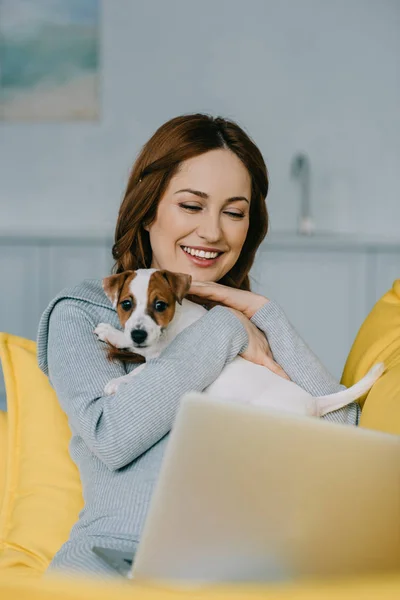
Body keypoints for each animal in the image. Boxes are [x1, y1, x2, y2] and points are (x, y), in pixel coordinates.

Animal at [95, 268, 386, 418]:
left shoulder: (163, 354)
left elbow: (145, 368)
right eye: (126, 304)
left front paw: (117, 382)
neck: (171, 327)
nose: (139, 335)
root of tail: (314, 404)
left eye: (159, 305)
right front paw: (112, 332)